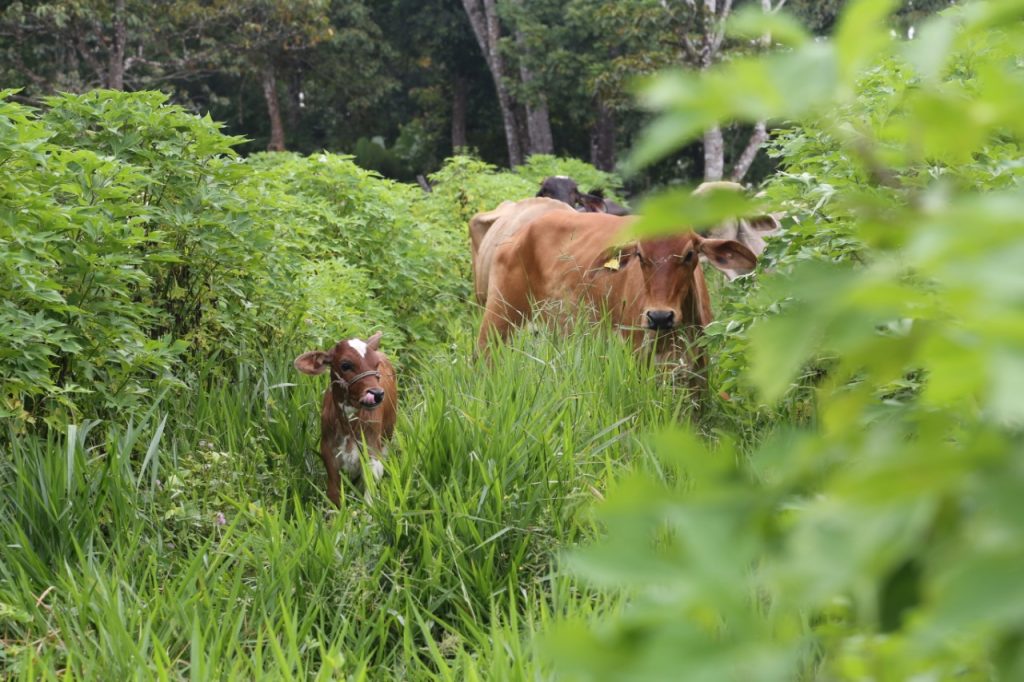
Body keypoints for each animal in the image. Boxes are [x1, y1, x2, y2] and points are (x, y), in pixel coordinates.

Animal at [294, 329, 397, 503]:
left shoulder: (372, 452)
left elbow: (369, 496)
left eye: (375, 364)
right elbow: (334, 493)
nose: (376, 394)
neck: (349, 426)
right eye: (346, 365)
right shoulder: (329, 451)